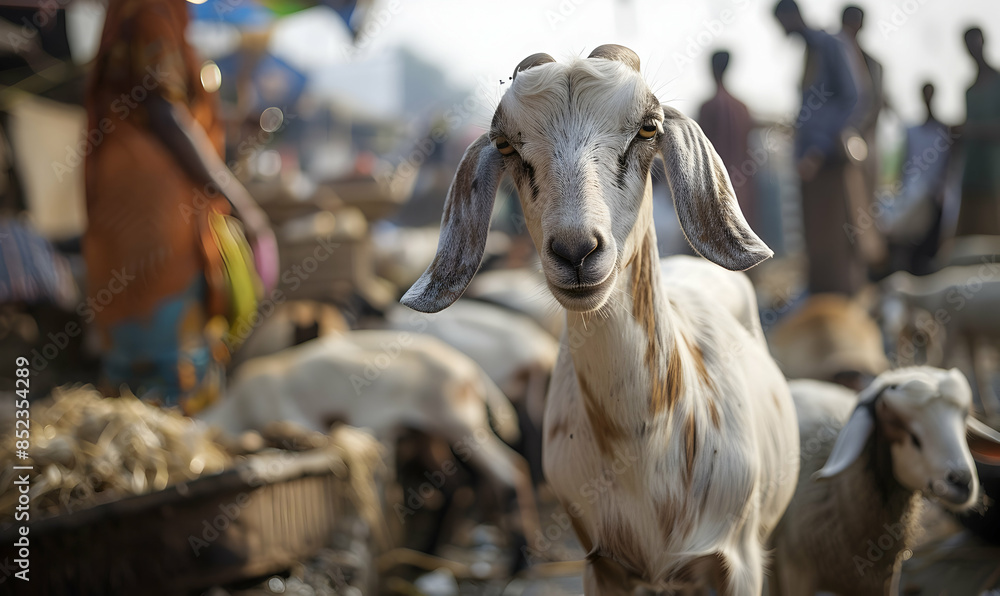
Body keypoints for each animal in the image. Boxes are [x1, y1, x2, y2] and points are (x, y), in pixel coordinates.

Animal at [398, 44, 796, 592]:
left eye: (648, 128)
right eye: (504, 144)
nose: (576, 252)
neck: (643, 451)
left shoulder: (735, 561)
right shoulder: (603, 563)